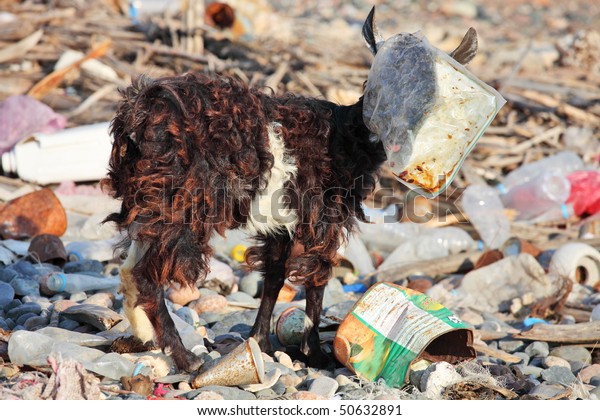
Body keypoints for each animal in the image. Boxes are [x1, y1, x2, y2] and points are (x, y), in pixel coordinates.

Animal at [103, 8, 478, 372]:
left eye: (429, 96)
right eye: (380, 83)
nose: (395, 138)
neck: (346, 135)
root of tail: (139, 112)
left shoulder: (281, 221)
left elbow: (274, 276)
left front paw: (260, 341)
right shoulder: (323, 216)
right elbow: (317, 278)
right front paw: (315, 354)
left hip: (149, 202)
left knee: (130, 267)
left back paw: (145, 340)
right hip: (182, 203)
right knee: (148, 273)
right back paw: (186, 358)